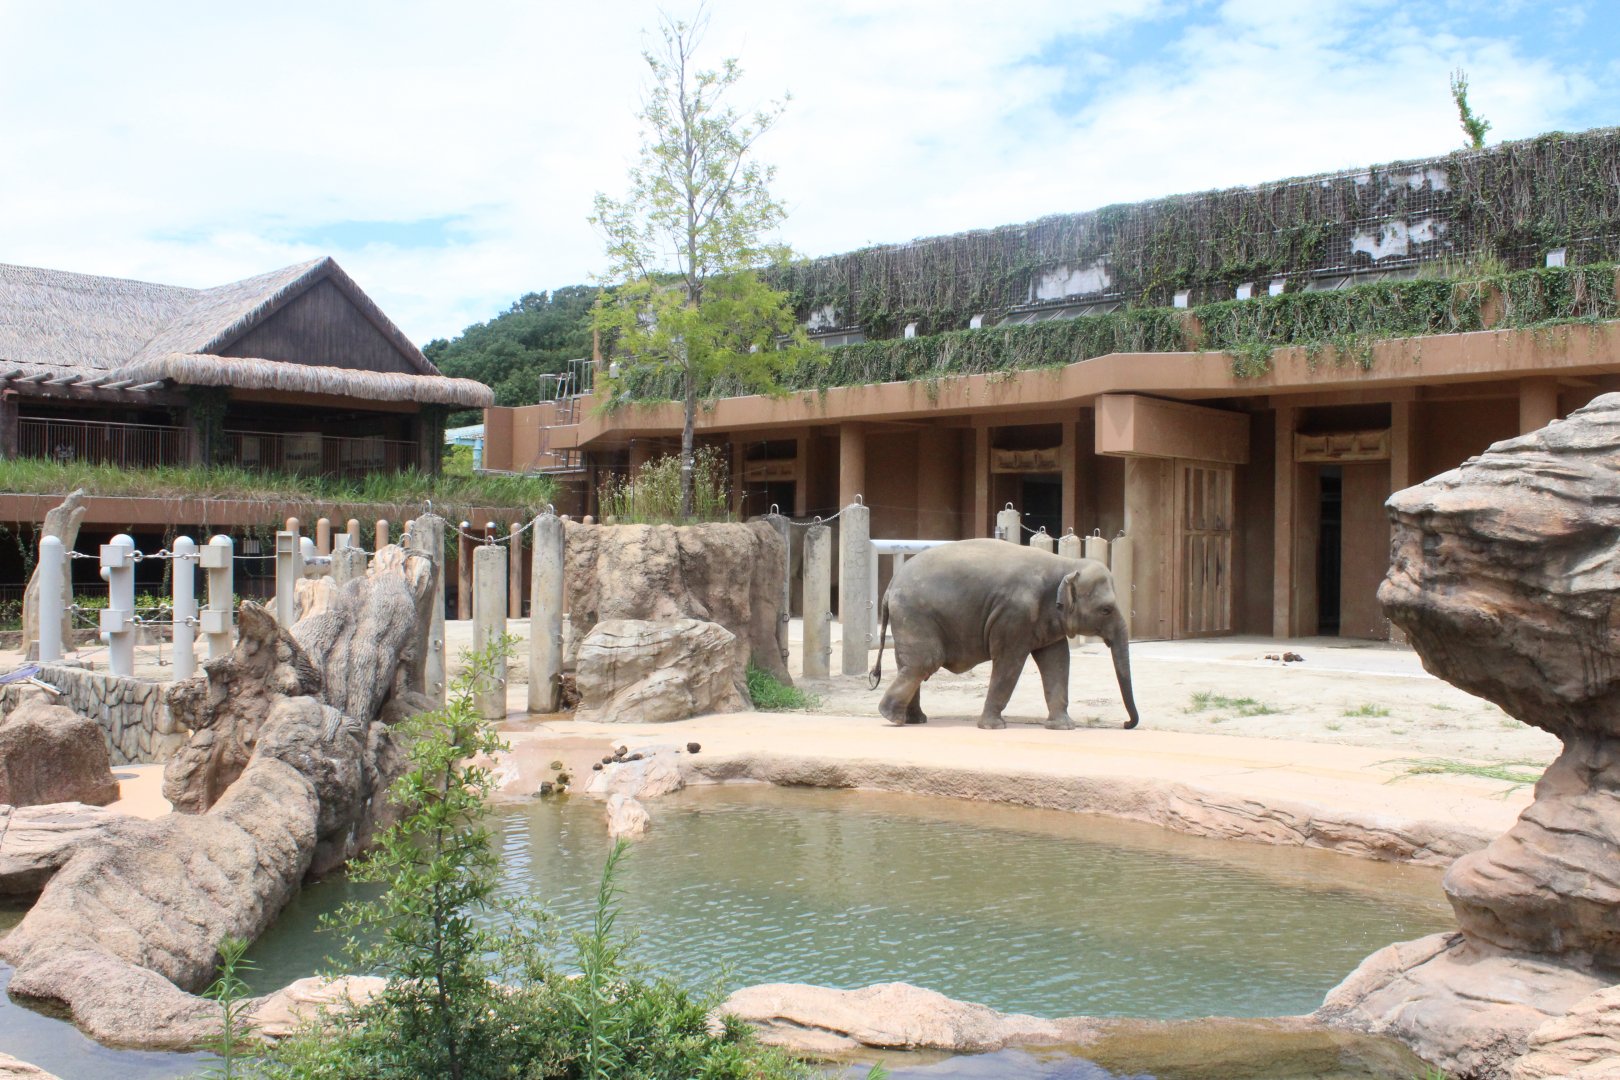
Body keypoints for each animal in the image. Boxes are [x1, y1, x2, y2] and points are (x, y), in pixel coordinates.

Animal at [868, 539, 1140, 731]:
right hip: (915, 615)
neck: (1066, 564)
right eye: (1106, 609)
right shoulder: (1014, 615)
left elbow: (1057, 661)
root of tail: (890, 586)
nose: (1125, 724)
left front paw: (1064, 727)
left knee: (911, 665)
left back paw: (912, 720)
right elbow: (1009, 662)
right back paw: (892, 718)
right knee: (925, 662)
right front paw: (993, 727)